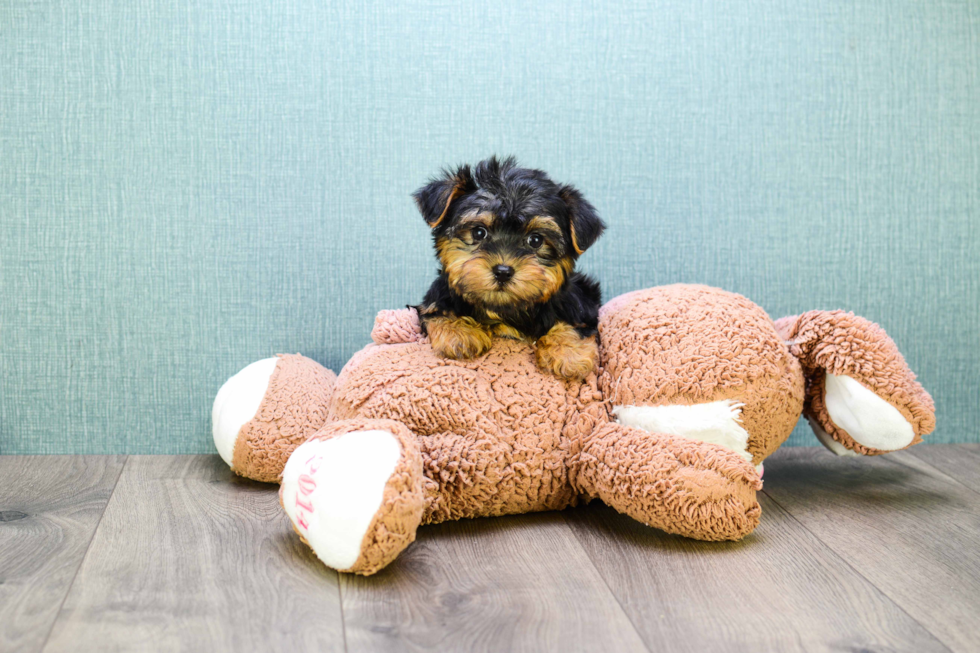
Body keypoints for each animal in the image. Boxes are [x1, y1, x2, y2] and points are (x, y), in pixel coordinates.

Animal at [412, 157, 604, 380]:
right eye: (479, 232)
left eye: (535, 240)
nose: (503, 271)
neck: (504, 308)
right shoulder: (434, 299)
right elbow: (436, 310)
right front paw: (460, 333)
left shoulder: (581, 302)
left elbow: (576, 323)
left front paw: (567, 353)